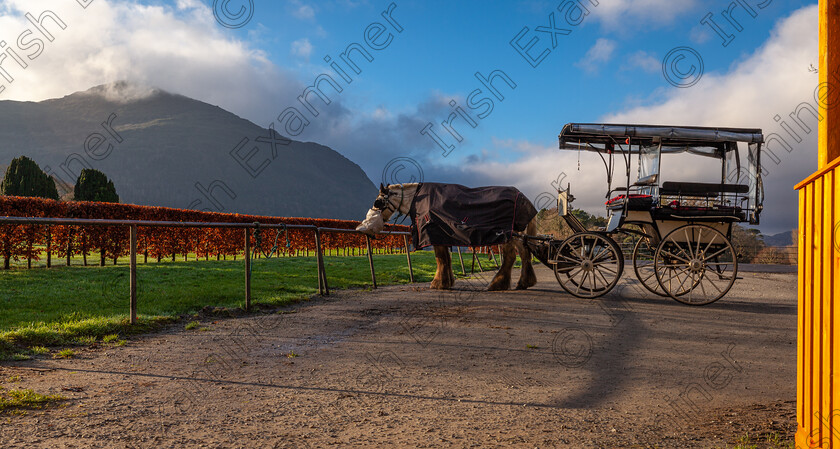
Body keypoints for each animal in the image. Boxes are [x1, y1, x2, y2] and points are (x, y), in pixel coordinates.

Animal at [354, 182, 540, 290]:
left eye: (378, 201)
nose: (362, 228)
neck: (418, 199)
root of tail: (525, 199)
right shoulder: (443, 236)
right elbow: (446, 259)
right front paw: (447, 281)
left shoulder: (434, 233)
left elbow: (440, 258)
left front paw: (438, 283)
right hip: (516, 235)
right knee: (524, 253)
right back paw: (524, 282)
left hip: (507, 235)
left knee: (511, 255)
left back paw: (498, 283)